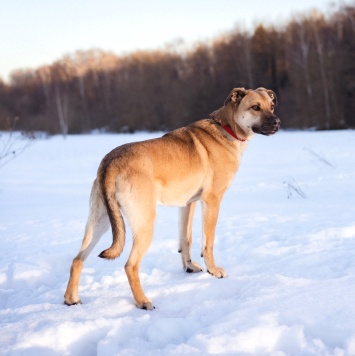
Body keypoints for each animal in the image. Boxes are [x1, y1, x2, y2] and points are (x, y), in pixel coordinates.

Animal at [64, 86, 280, 308]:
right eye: (255, 107)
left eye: (271, 106)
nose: (277, 122)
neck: (227, 128)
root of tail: (111, 162)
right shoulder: (212, 201)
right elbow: (208, 242)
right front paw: (213, 270)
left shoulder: (187, 205)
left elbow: (186, 239)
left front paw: (189, 267)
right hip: (144, 223)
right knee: (130, 265)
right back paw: (143, 301)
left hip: (101, 222)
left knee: (77, 260)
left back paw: (71, 299)